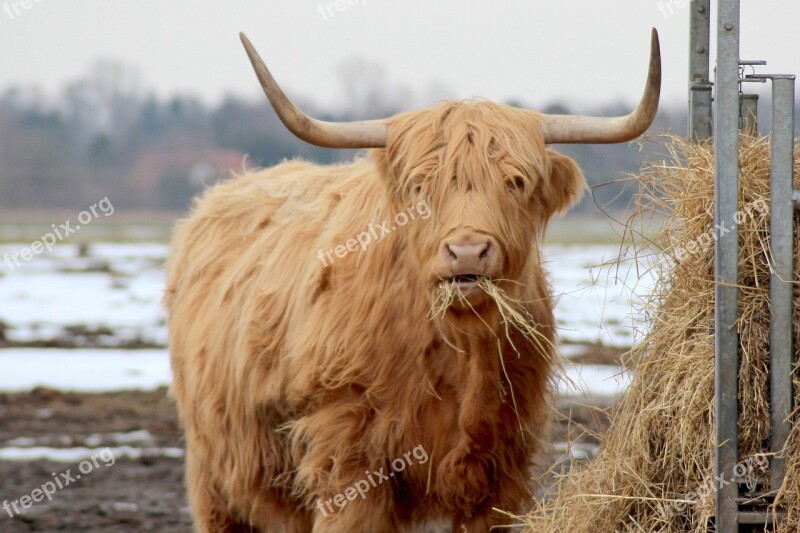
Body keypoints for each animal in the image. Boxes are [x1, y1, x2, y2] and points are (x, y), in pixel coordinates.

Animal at [166, 30, 660, 532]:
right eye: (421, 186)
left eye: (516, 182)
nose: (467, 251)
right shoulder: (349, 462)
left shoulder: (501, 474)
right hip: (215, 475)